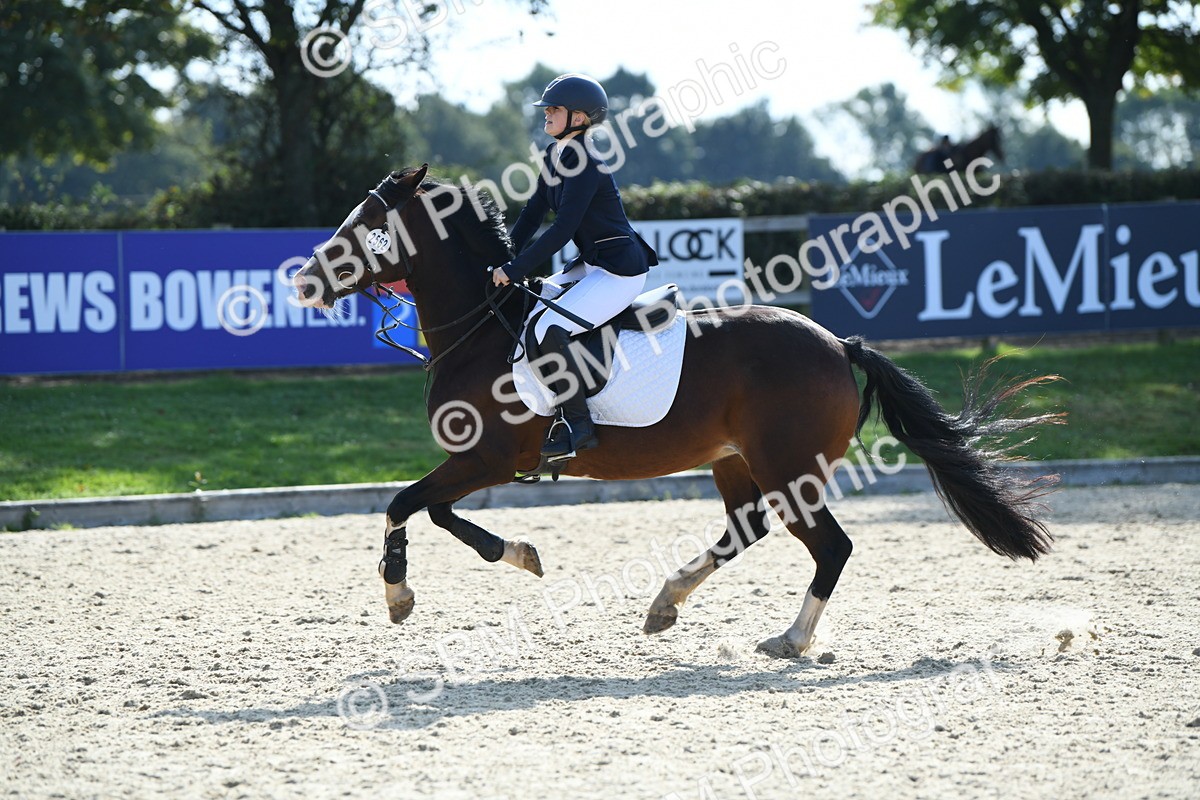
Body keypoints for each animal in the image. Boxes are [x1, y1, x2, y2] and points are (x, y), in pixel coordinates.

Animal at [292, 164, 1062, 658]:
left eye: (369, 222)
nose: (302, 280)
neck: (482, 328)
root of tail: (836, 343)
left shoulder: (487, 458)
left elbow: (406, 504)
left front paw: (399, 595)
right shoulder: (484, 463)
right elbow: (437, 512)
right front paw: (519, 554)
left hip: (790, 468)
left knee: (831, 547)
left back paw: (791, 640)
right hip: (736, 461)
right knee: (745, 529)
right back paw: (666, 604)